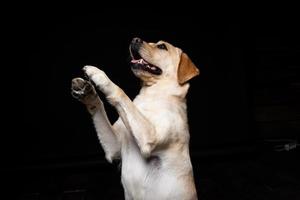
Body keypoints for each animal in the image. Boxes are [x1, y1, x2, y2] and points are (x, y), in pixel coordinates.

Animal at [71, 38, 199, 200]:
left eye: (162, 46)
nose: (135, 39)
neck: (152, 94)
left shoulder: (149, 138)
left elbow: (120, 92)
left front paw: (99, 75)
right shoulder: (114, 149)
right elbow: (99, 106)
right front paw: (88, 93)